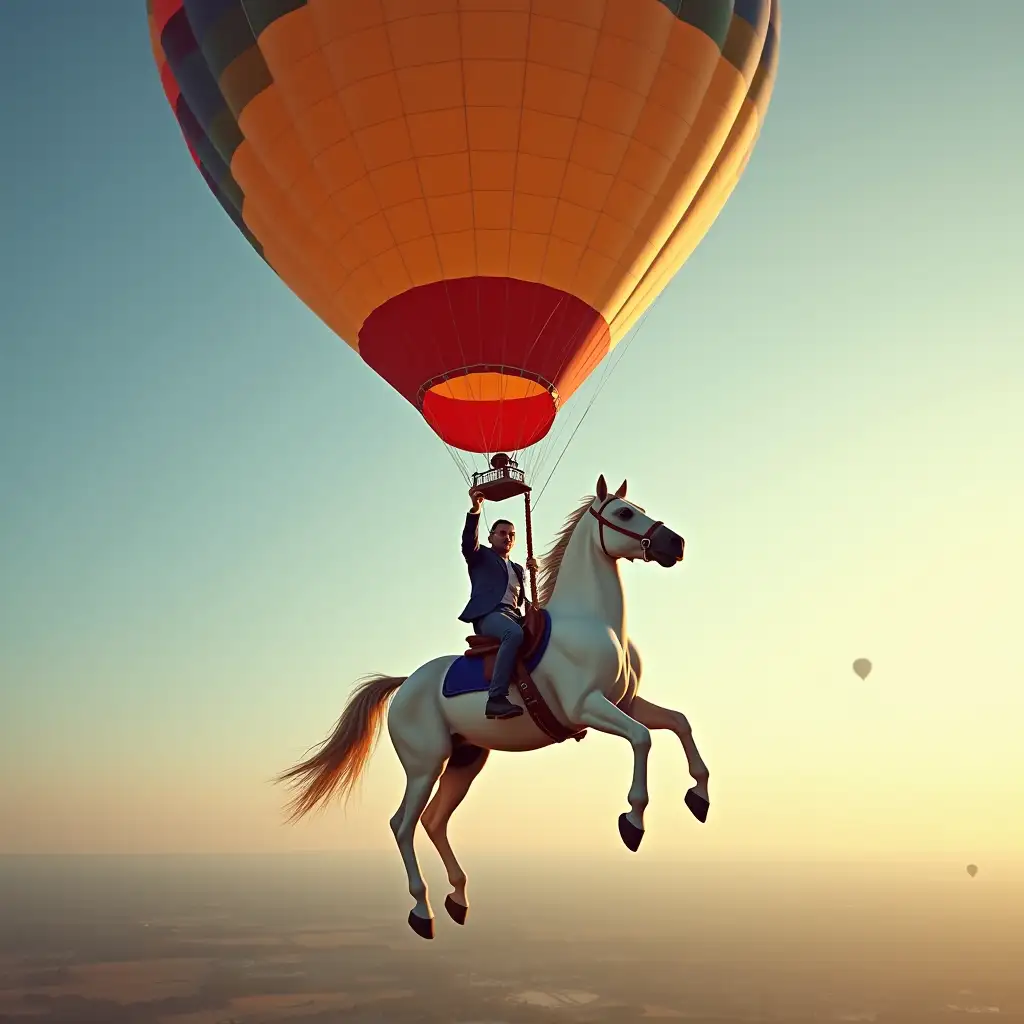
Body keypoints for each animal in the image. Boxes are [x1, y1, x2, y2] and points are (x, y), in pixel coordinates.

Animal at [280, 475, 712, 937]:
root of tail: (406, 684)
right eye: (624, 513)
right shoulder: (587, 707)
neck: (594, 622)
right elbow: (642, 738)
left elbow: (678, 723)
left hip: (466, 760)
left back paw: (457, 897)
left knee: (434, 820)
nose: (676, 543)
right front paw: (633, 822)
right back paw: (422, 910)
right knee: (403, 824)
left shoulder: (626, 701)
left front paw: (699, 796)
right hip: (425, 764)